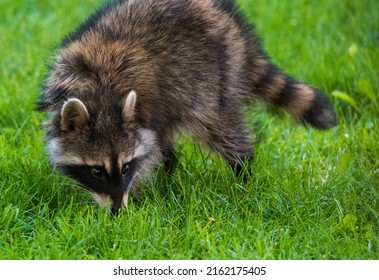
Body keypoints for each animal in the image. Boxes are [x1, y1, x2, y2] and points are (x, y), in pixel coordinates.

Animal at [37, 0, 336, 214]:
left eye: (125, 168)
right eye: (96, 171)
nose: (117, 211)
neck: (99, 93)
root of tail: (237, 30)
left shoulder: (145, 111)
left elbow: (148, 155)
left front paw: (135, 193)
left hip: (214, 78)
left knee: (220, 127)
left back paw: (242, 171)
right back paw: (170, 175)